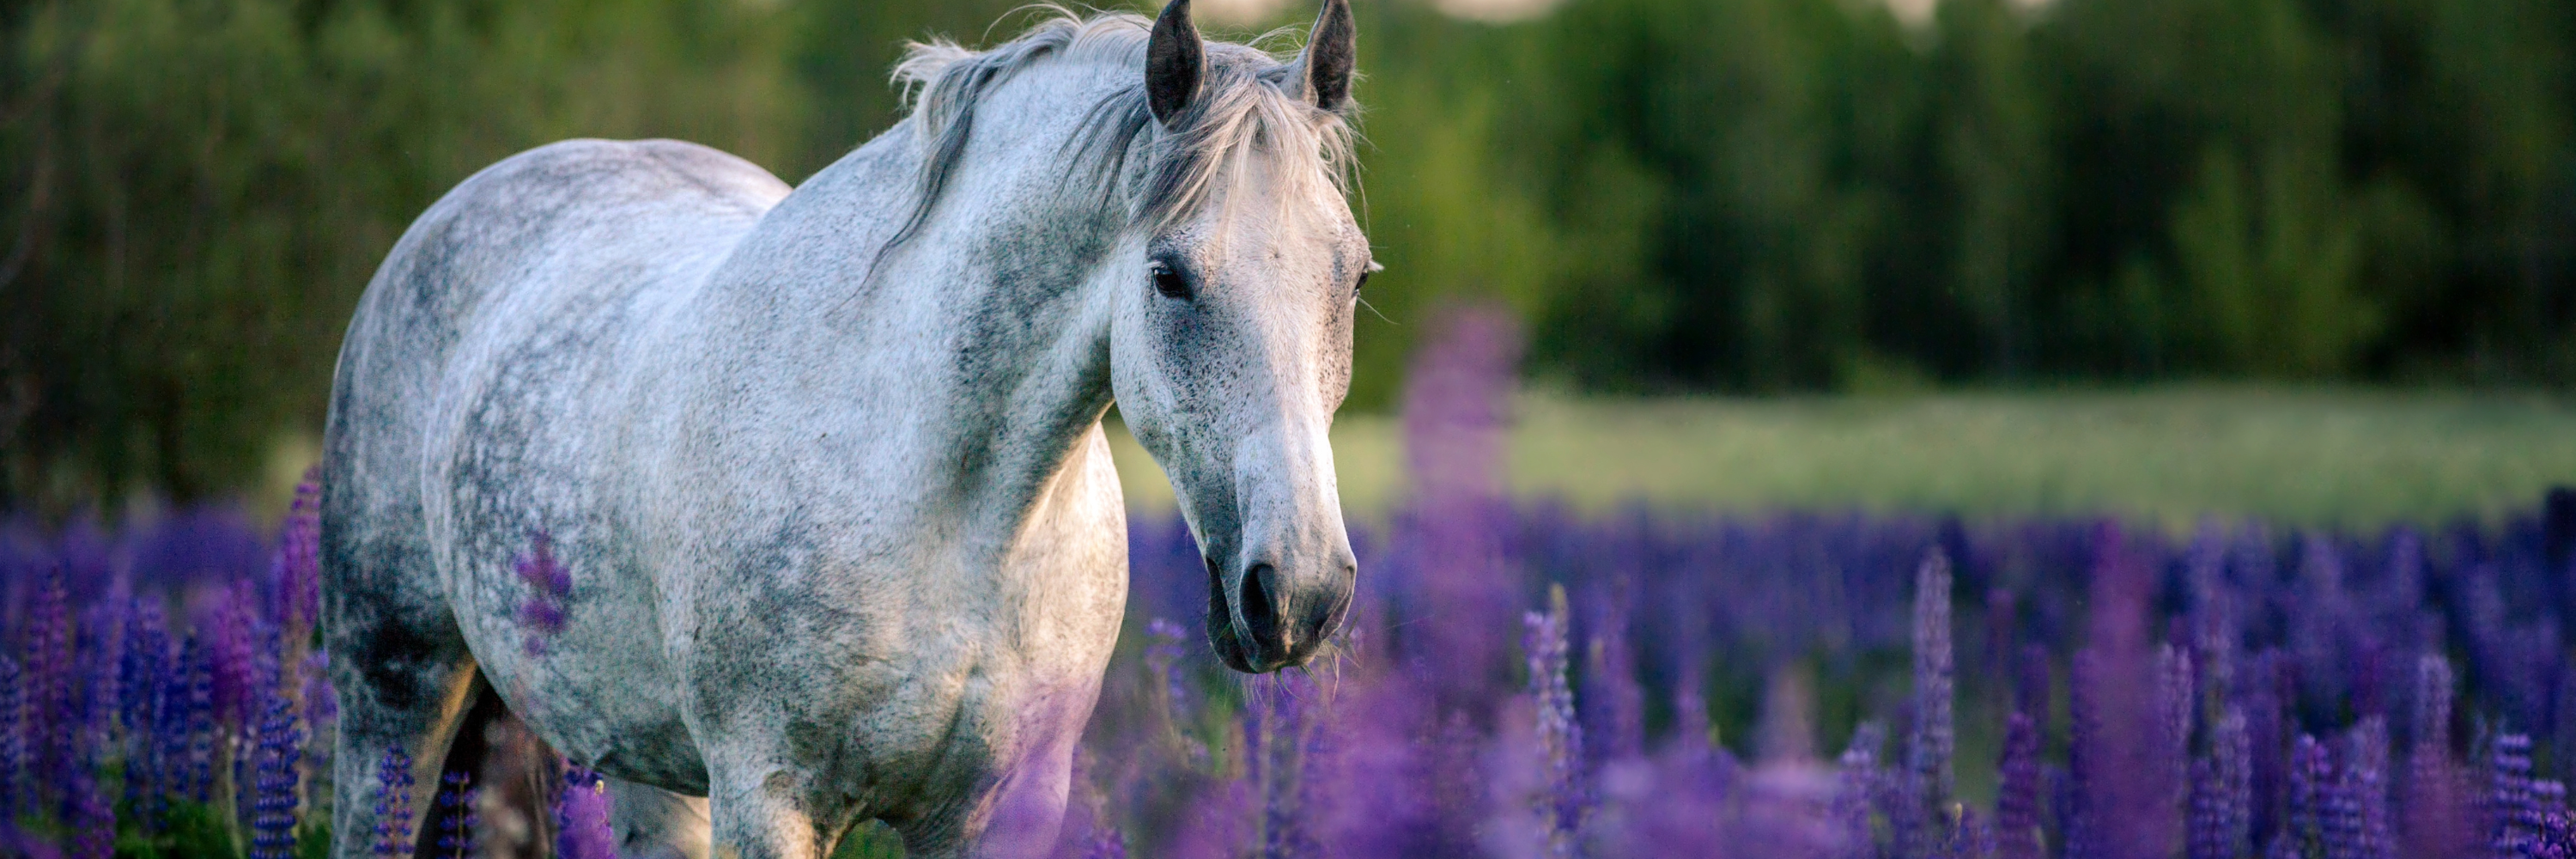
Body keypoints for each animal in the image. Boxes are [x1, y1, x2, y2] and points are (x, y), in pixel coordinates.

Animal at [316, 1, 1366, 855]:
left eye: (1355, 276)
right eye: (1168, 276)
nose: (1301, 592)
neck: (954, 518)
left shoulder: (997, 811)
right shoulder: (769, 796)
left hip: (640, 762)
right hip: (392, 705)